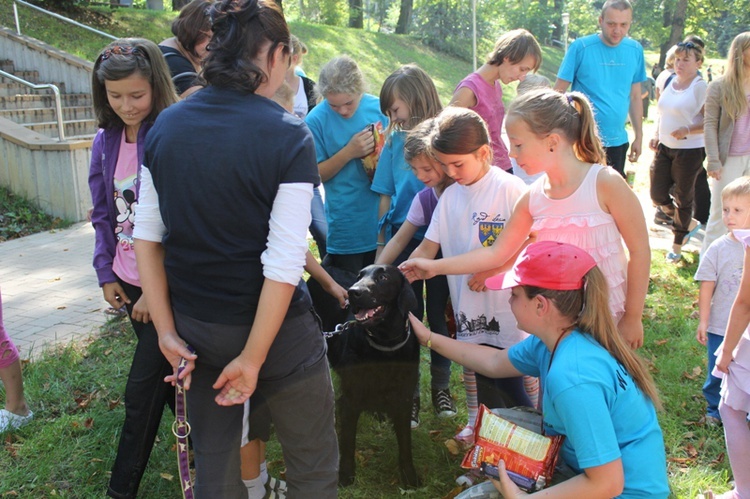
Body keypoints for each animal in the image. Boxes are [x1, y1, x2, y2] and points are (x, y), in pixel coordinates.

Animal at [306, 266, 424, 488]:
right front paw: (345, 475)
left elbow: (406, 443)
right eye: (359, 276)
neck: (384, 346)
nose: (353, 292)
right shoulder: (350, 401)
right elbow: (348, 442)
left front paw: (410, 477)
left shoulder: (403, 399)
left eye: (383, 277)